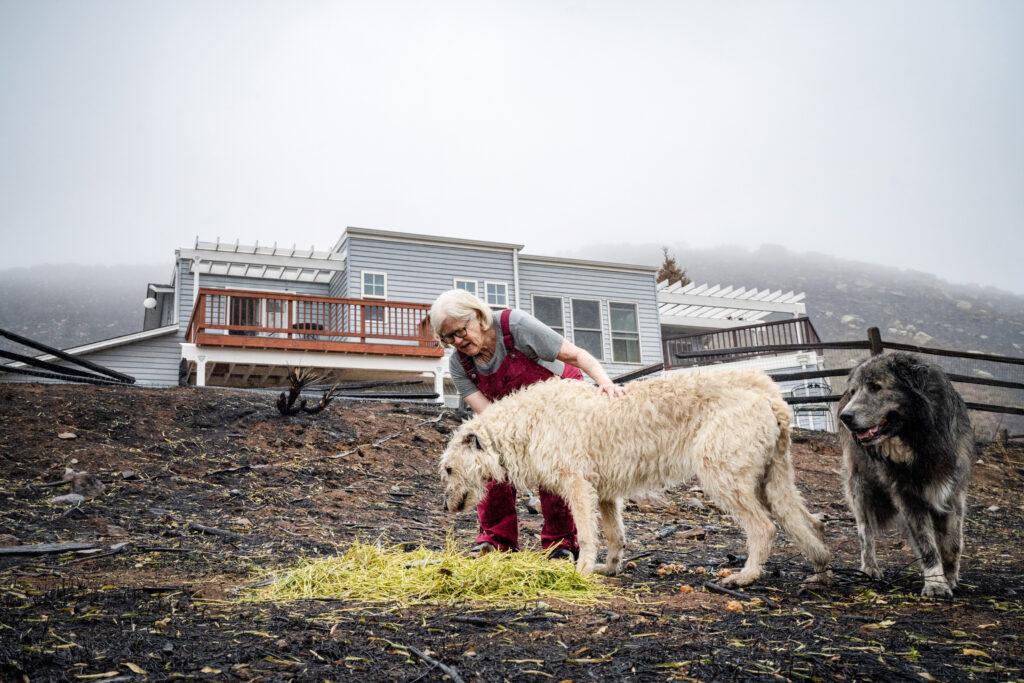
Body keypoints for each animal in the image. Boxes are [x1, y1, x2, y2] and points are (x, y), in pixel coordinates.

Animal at [440, 368, 831, 589]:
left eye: (448, 469)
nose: (447, 506)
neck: (527, 423)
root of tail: (769, 395)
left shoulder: (578, 486)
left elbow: (587, 533)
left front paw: (582, 569)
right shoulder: (604, 495)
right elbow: (615, 535)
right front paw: (609, 569)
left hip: (724, 474)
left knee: (764, 527)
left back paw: (746, 576)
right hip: (772, 477)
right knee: (804, 521)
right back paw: (820, 569)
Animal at [839, 356, 974, 593]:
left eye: (875, 387)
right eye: (854, 391)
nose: (845, 416)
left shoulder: (953, 492)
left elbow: (952, 542)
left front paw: (950, 576)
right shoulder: (908, 497)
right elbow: (926, 544)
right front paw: (935, 583)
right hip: (860, 487)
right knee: (865, 532)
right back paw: (870, 568)